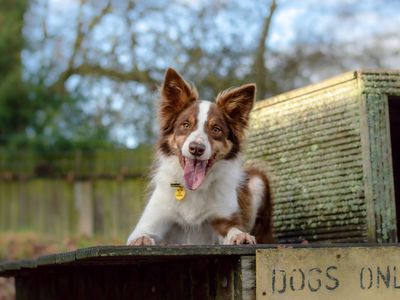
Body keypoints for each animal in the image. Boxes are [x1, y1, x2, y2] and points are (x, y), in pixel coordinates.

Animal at [126, 68, 274, 246]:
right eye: (186, 125)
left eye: (216, 129)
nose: (196, 149)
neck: (194, 189)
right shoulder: (152, 220)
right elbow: (141, 234)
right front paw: (142, 240)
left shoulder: (225, 218)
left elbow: (234, 229)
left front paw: (241, 236)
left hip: (257, 179)